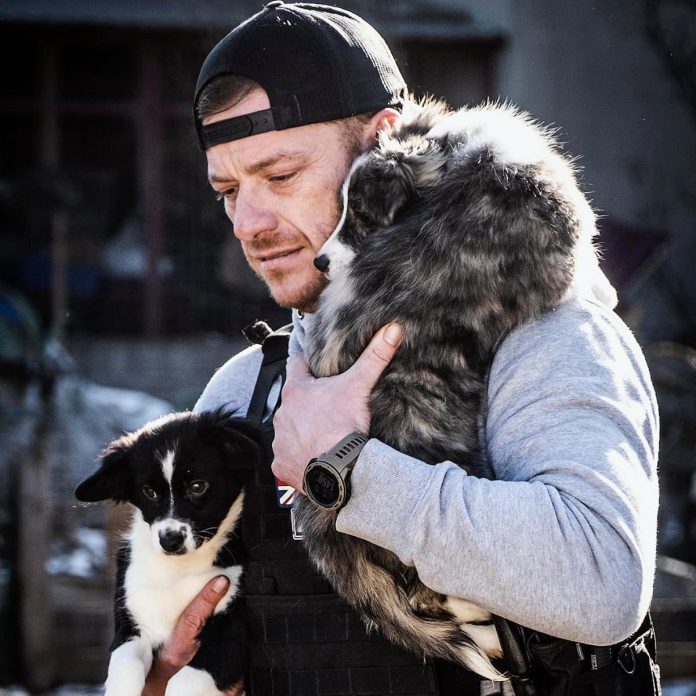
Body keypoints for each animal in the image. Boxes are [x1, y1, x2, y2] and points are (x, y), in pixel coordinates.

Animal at [75, 410, 260, 692]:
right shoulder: (133, 624)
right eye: (149, 492)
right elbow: (124, 670)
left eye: (197, 486)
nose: (170, 541)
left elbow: (183, 681)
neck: (178, 570)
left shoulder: (233, 629)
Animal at [294, 99, 616, 680]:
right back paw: (484, 626)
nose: (320, 263)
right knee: (428, 589)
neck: (445, 167)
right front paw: (605, 291)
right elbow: (585, 269)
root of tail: (324, 521)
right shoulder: (557, 260)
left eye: (360, 216)